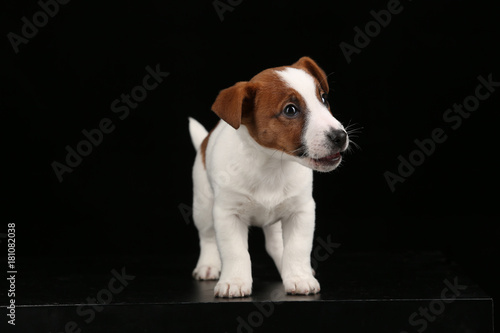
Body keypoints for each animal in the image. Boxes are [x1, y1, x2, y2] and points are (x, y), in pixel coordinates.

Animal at [188, 55, 348, 296]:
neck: (271, 165)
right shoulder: (227, 215)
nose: (341, 136)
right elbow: (235, 252)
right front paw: (234, 281)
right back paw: (208, 265)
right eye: (290, 110)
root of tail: (206, 140)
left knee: (276, 244)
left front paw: (299, 277)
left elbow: (297, 248)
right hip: (203, 205)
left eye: (323, 98)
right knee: (207, 236)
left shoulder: (301, 211)